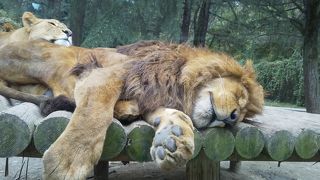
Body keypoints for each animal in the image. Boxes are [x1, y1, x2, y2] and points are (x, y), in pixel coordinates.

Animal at [0, 40, 264, 179]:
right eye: (240, 98)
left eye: (240, 116)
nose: (230, 119)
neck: (180, 86)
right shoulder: (110, 74)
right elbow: (93, 114)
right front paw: (67, 163)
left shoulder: (150, 95)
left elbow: (171, 114)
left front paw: (174, 138)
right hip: (59, 59)